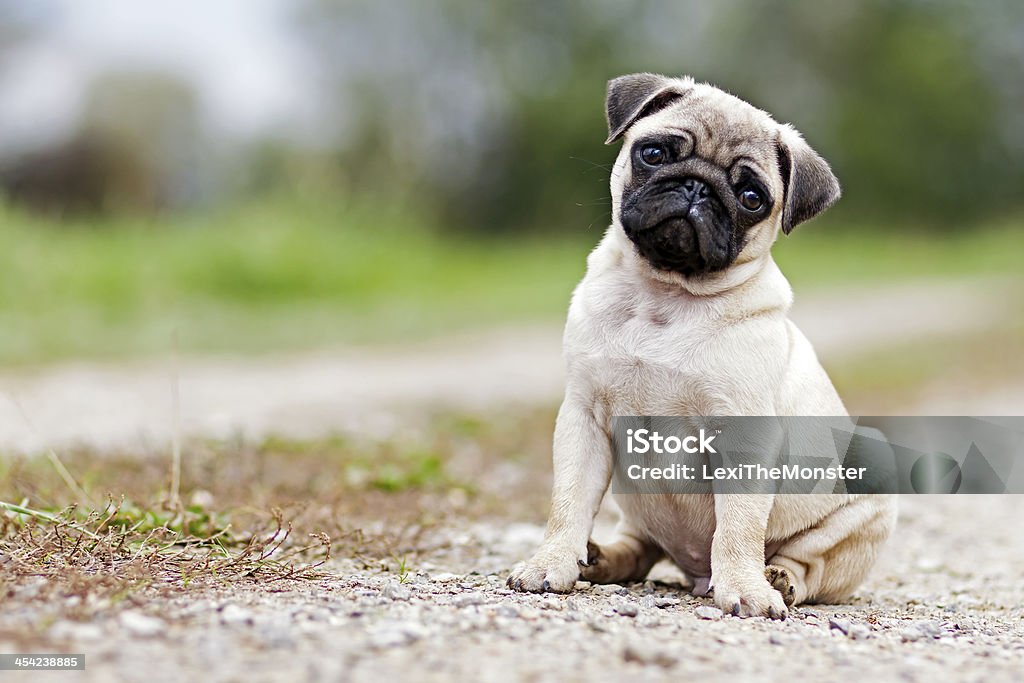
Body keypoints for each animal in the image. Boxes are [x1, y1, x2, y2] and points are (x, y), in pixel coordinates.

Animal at [507, 73, 901, 618]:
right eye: (653, 153)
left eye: (752, 197)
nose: (697, 186)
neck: (664, 295)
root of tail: (693, 573)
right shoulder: (583, 418)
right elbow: (568, 503)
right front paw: (552, 562)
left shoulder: (744, 437)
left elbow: (738, 525)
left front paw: (746, 589)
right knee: (639, 548)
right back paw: (600, 559)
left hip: (869, 494)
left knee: (808, 565)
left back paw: (777, 579)